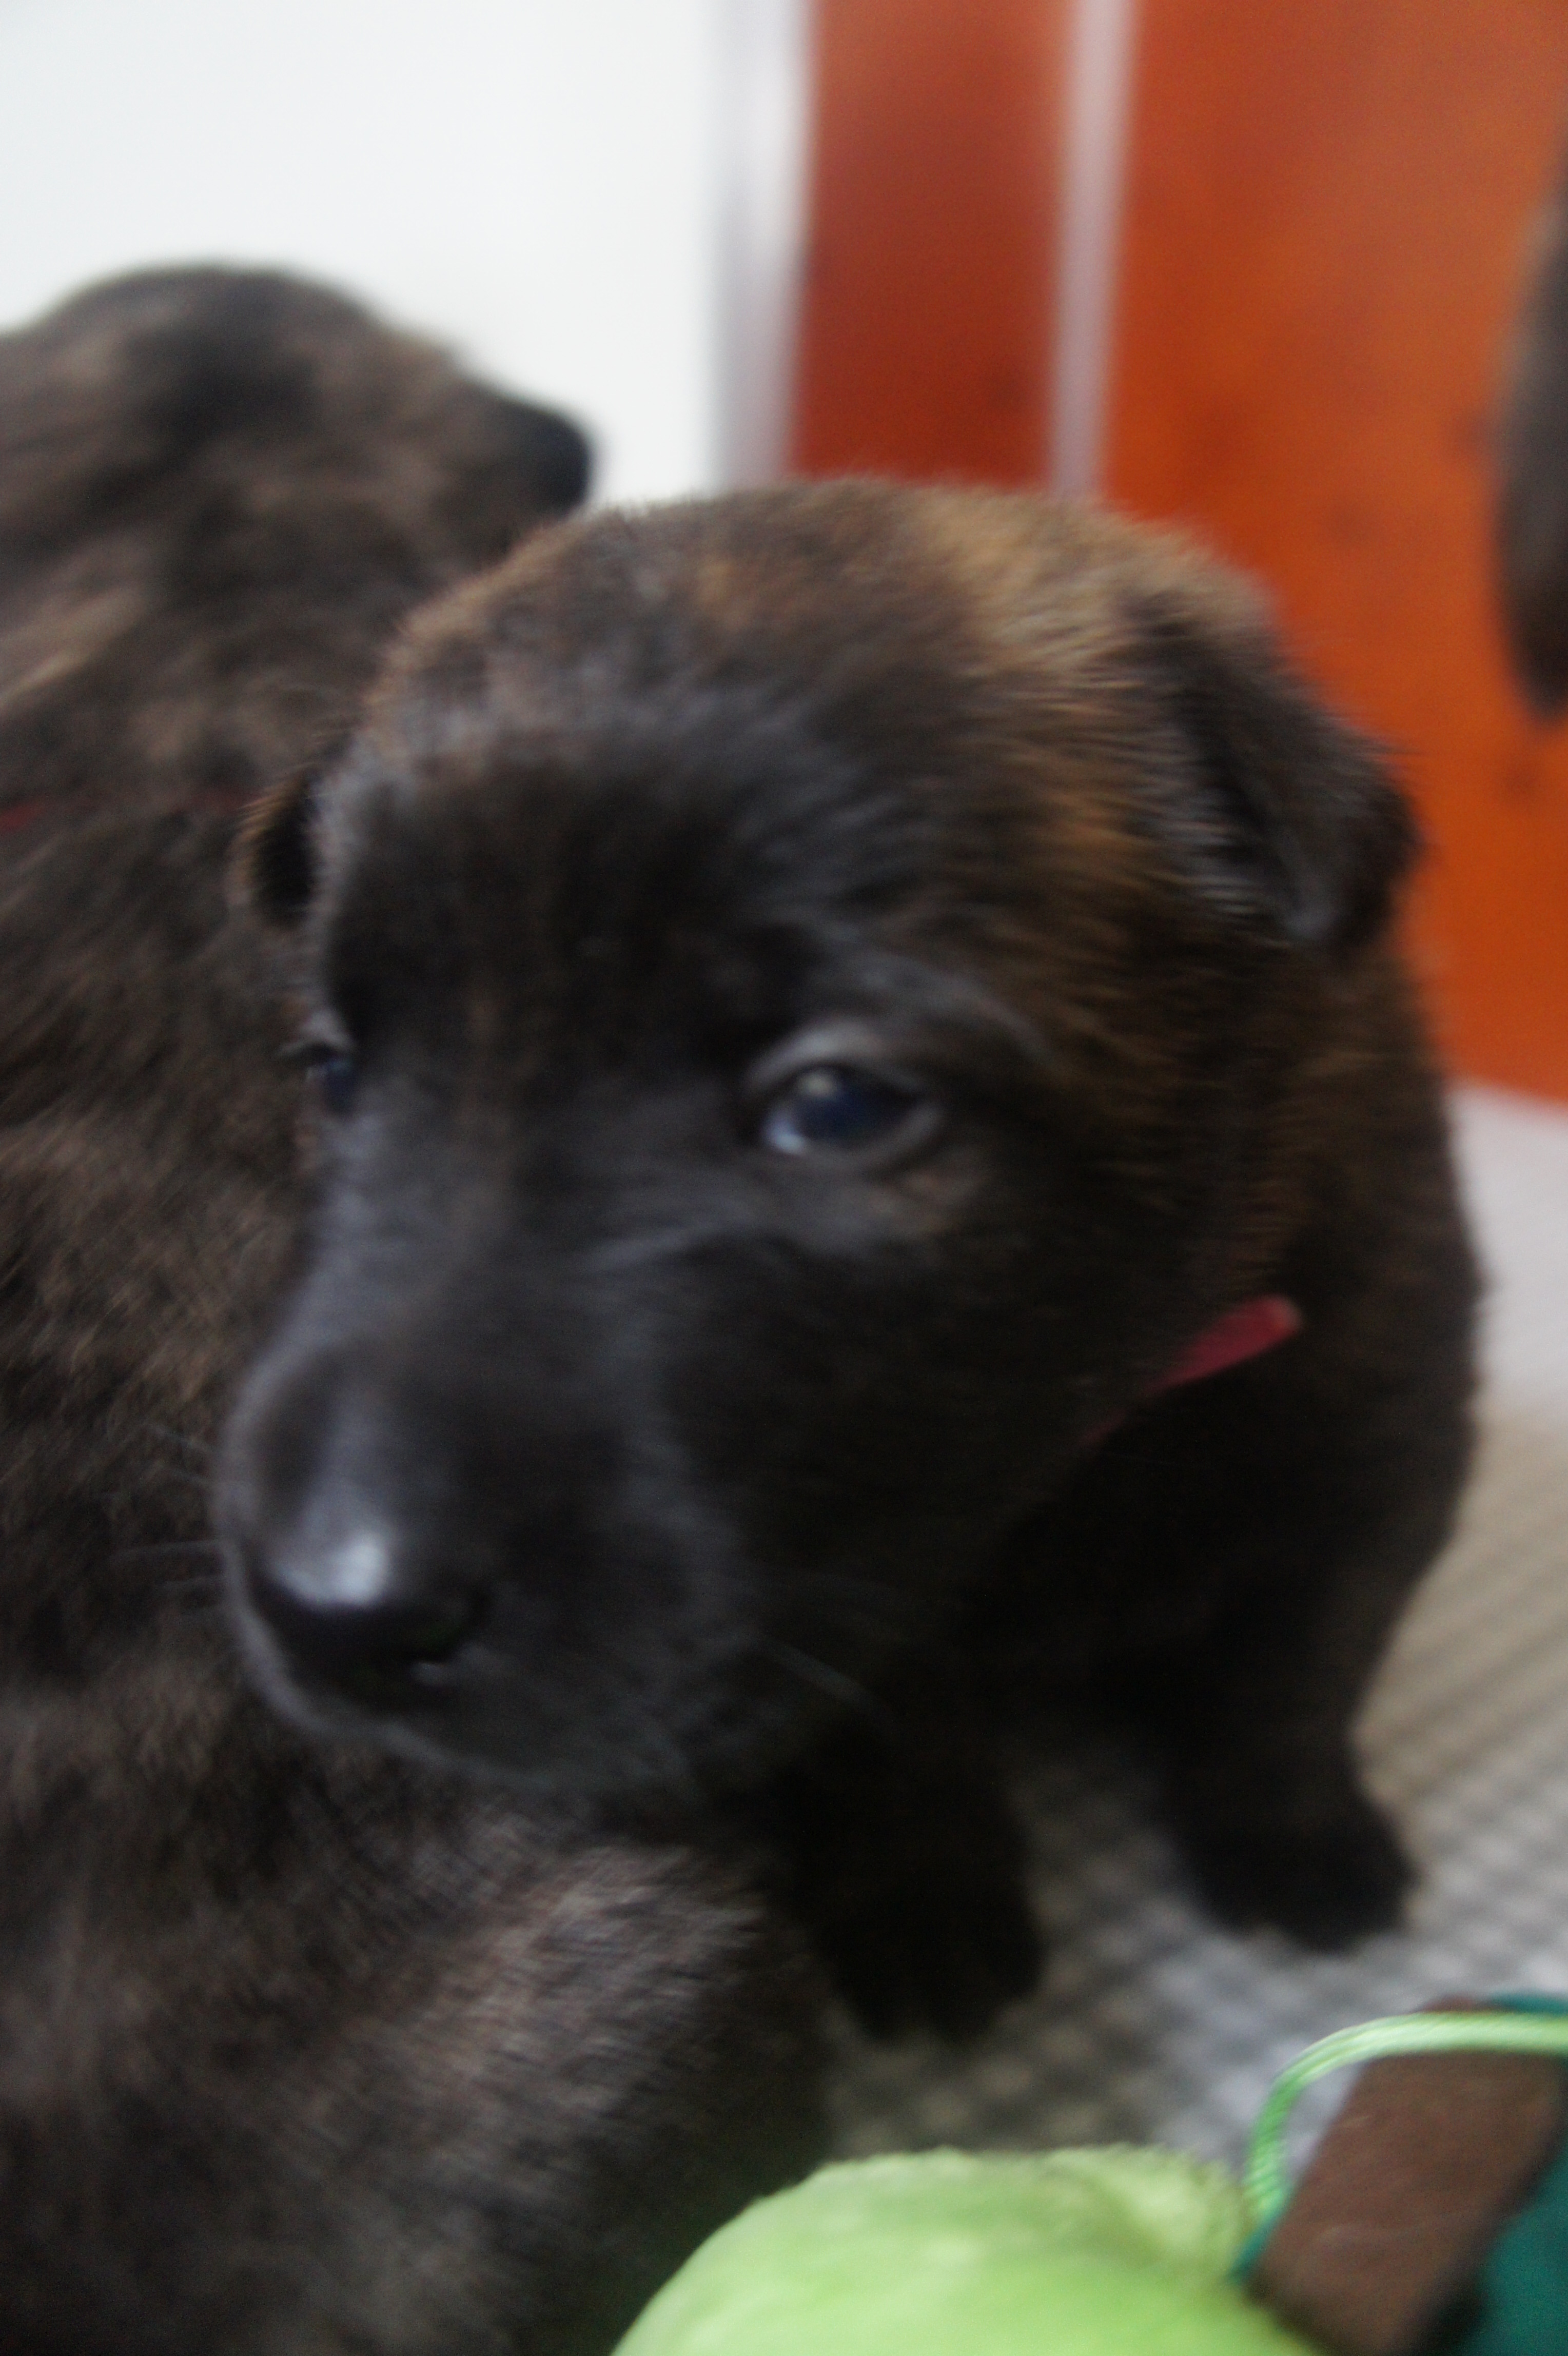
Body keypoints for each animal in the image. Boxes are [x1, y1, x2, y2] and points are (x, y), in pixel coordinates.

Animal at [220, 479, 1480, 2041]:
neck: (1097, 1424)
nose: (331, 1617)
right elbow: (901, 1728)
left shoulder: (1382, 1435)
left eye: (836, 1106)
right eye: (334, 1071)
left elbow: (1301, 1662)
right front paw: (923, 1897)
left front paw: (1293, 1833)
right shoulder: (857, 1586)